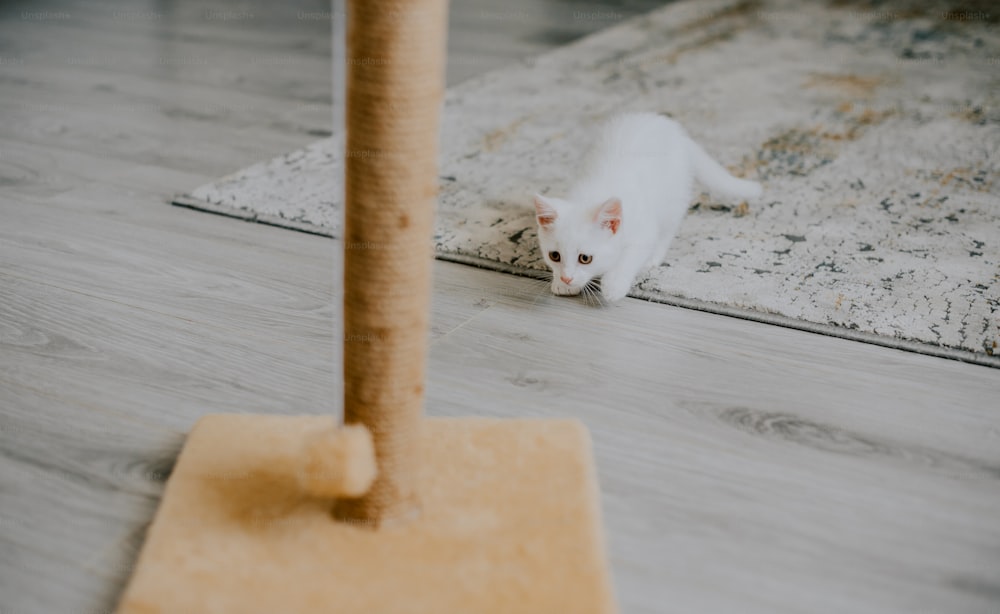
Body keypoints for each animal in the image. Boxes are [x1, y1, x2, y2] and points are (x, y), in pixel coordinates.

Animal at [536, 113, 760, 304]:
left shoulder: (643, 231)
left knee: (667, 229)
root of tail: (674, 130)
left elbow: (629, 258)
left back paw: (653, 258)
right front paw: (562, 284)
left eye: (585, 258)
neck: (592, 196)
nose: (566, 278)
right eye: (554, 256)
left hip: (673, 198)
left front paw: (613, 285)